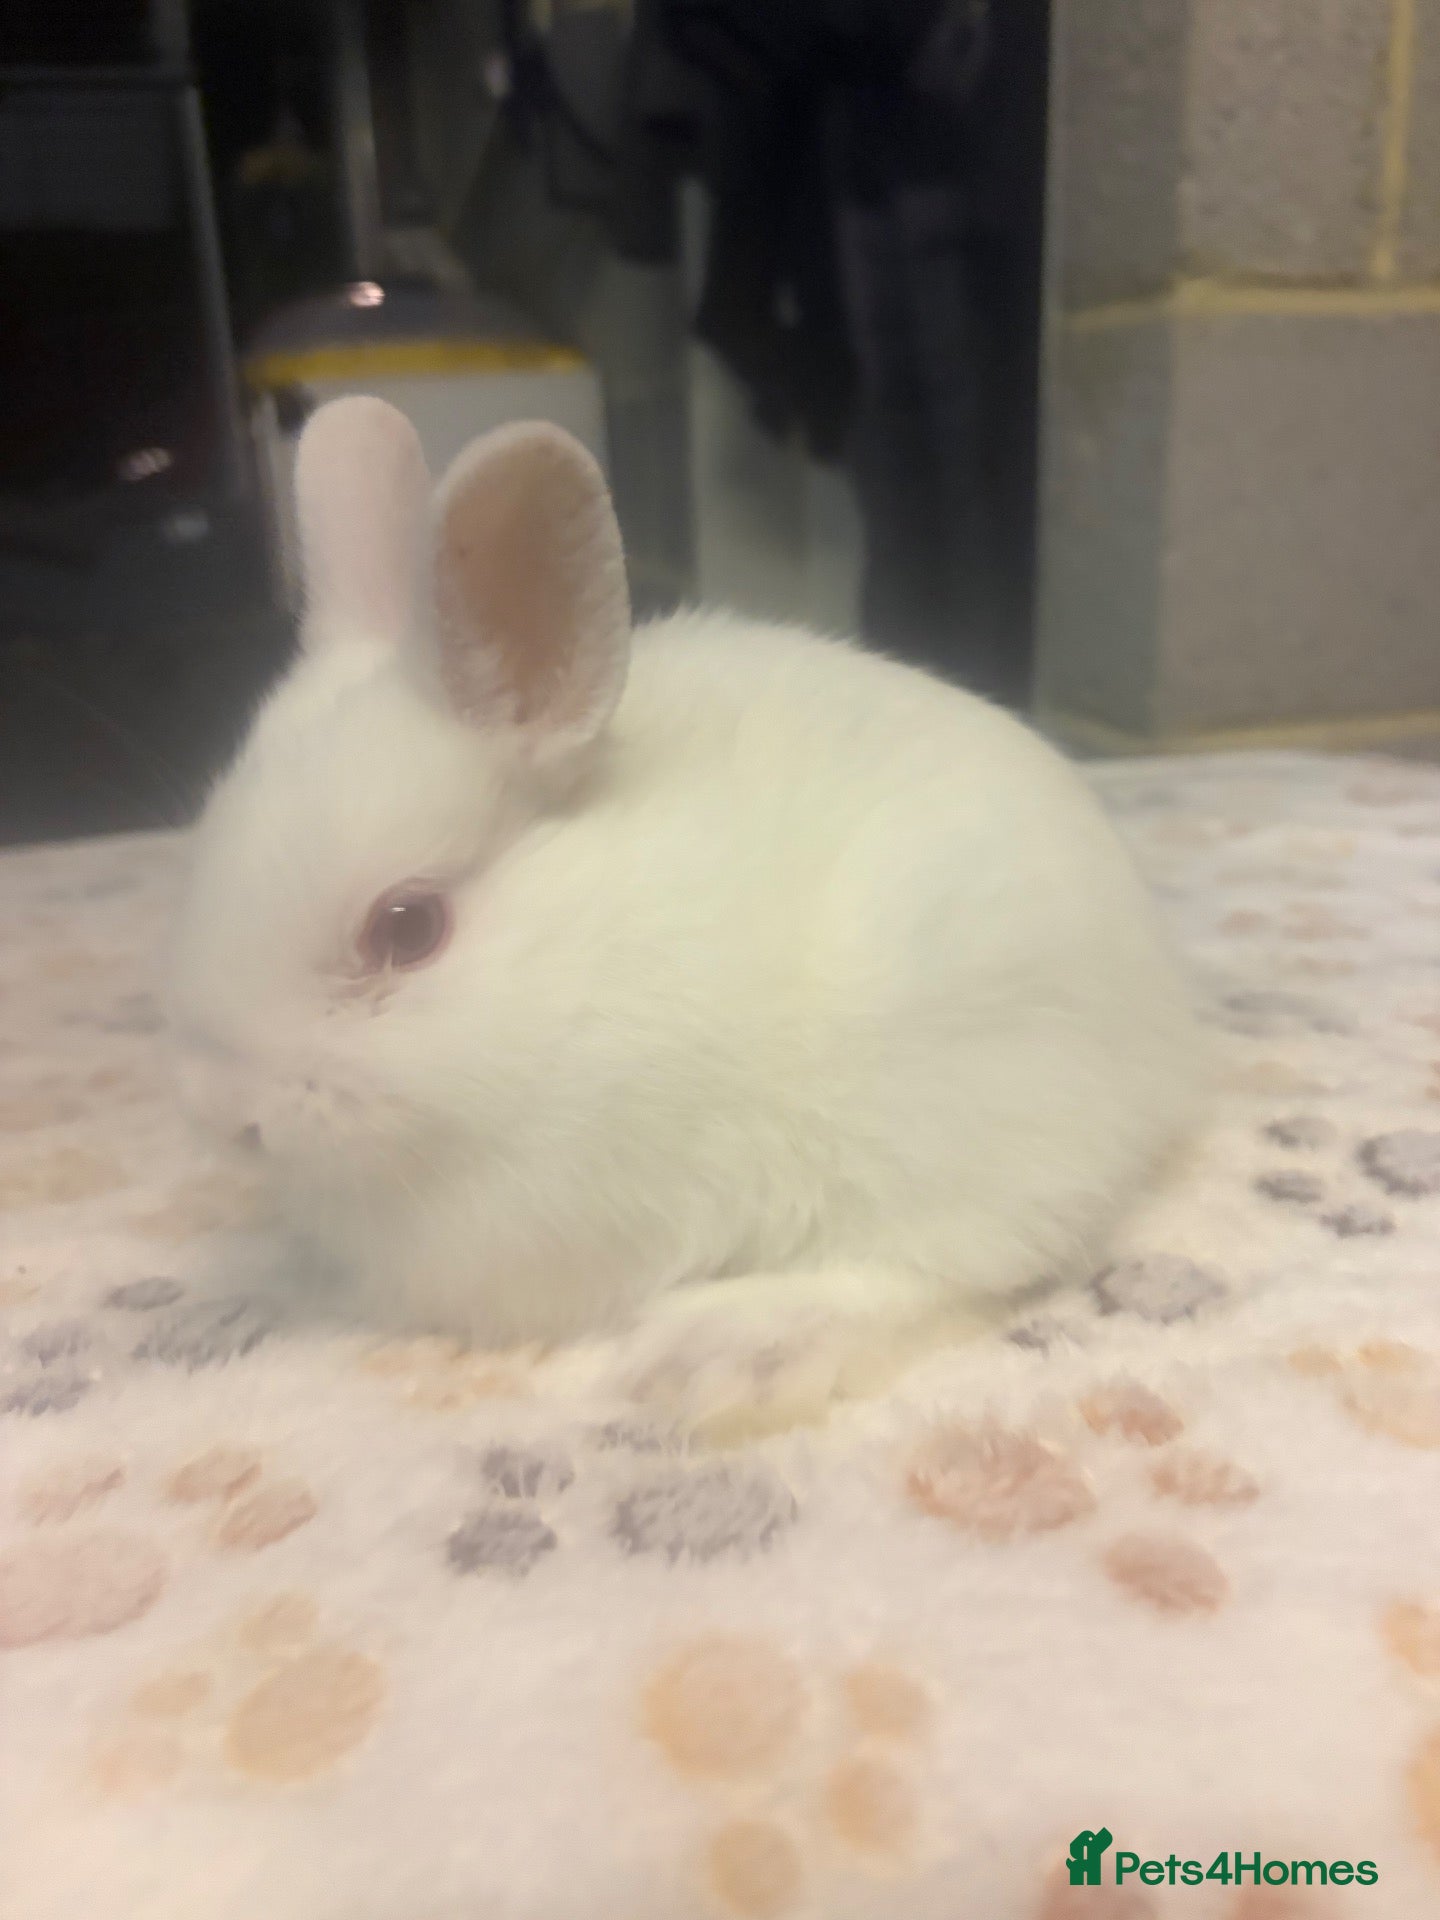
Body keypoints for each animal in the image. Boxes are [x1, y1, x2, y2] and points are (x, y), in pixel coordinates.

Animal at [166, 395, 1204, 1434]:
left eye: (407, 927)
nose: (226, 1114)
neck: (580, 964)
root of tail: (1163, 1020)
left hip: (965, 1105)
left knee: (950, 1266)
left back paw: (722, 1357)